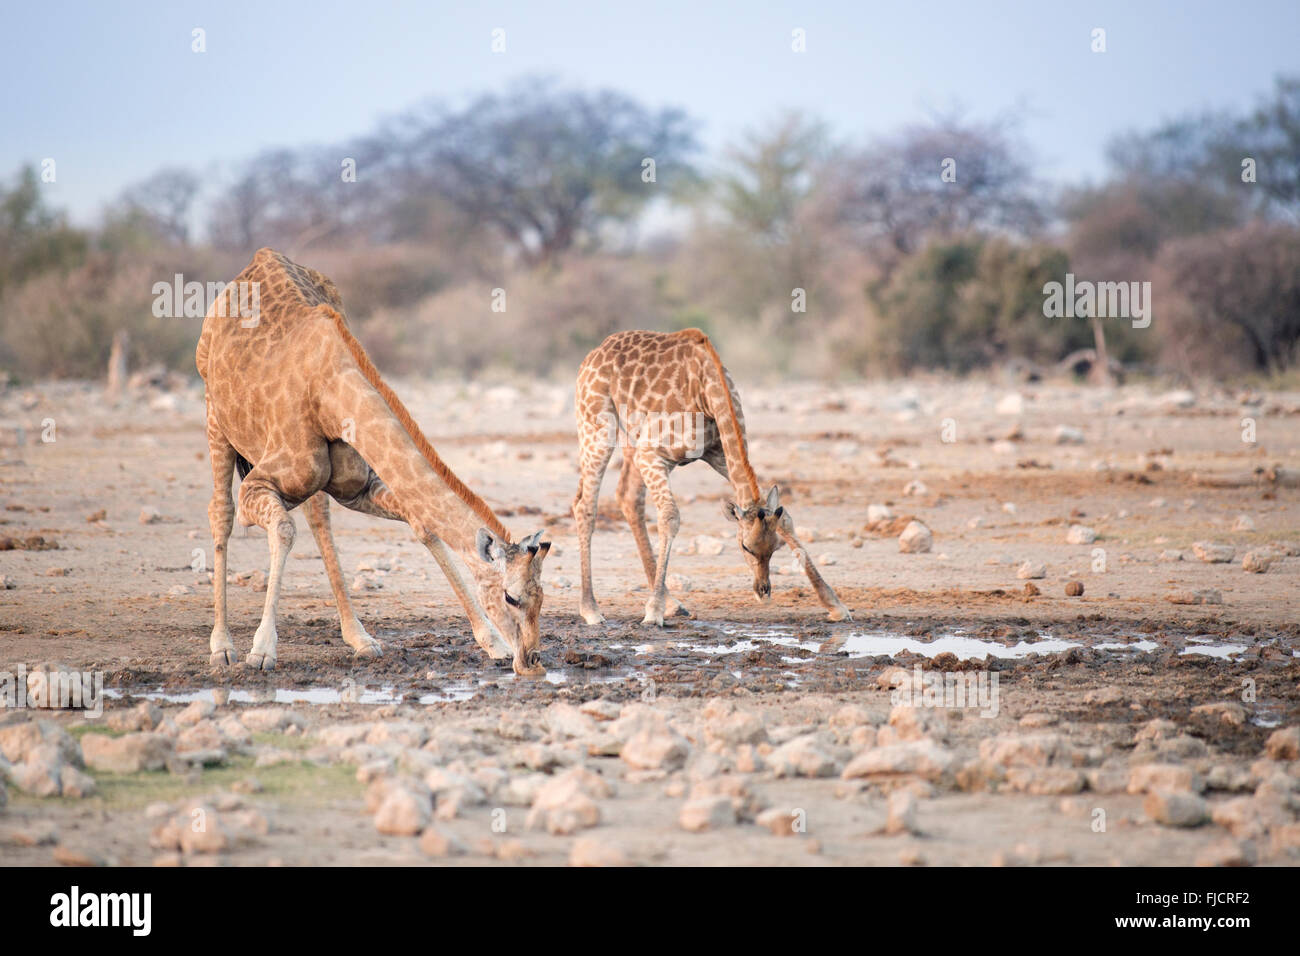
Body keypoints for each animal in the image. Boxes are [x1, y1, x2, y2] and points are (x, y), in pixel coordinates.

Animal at [196, 251, 548, 676]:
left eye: (542, 596)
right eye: (511, 597)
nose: (532, 661)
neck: (330, 394)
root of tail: (257, 260)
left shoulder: (358, 487)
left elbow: (423, 524)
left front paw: (491, 642)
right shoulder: (258, 484)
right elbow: (282, 530)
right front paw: (262, 651)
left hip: (313, 479)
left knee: (318, 520)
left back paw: (360, 638)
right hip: (215, 417)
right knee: (221, 512)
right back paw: (222, 646)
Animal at [574, 329, 847, 629]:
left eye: (775, 548)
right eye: (745, 547)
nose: (763, 590)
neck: (707, 392)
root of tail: (594, 354)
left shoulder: (718, 454)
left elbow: (784, 517)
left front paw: (836, 606)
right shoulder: (653, 454)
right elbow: (670, 516)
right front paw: (653, 612)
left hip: (632, 438)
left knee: (627, 496)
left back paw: (673, 604)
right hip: (597, 427)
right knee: (585, 505)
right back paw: (591, 609)